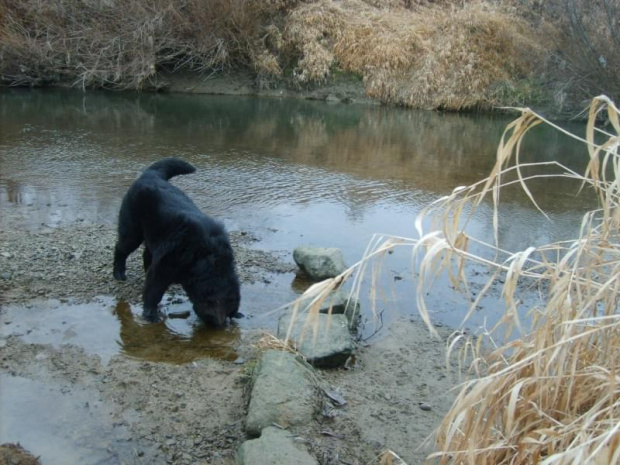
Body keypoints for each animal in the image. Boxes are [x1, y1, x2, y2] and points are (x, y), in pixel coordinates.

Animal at [111, 158, 240, 324]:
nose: (223, 325)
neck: (202, 258)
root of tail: (151, 174)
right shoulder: (163, 268)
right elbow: (153, 291)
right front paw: (150, 313)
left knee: (147, 255)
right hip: (132, 231)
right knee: (121, 249)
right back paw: (119, 273)